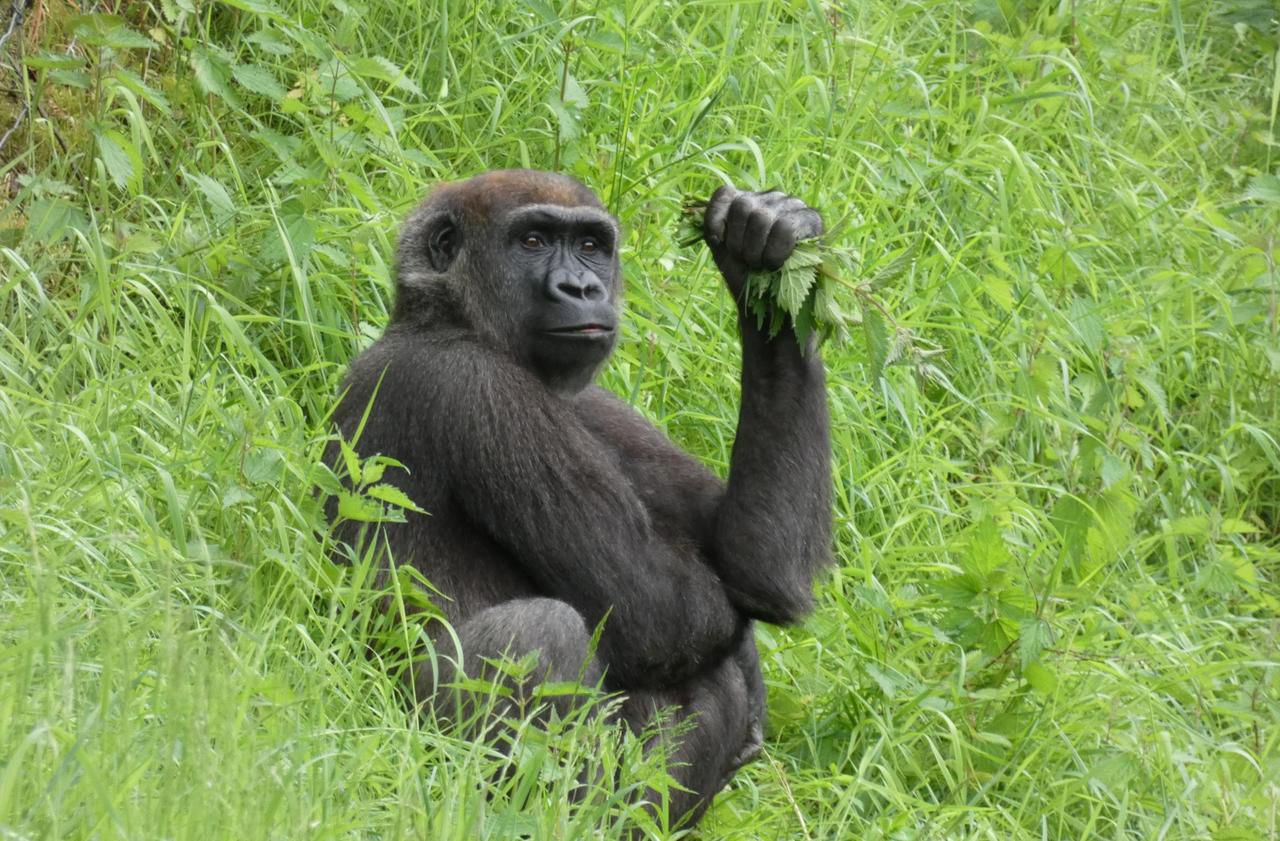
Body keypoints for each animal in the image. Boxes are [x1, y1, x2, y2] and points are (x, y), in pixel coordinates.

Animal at [325, 170, 834, 824]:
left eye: (591, 246)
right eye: (533, 241)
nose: (583, 287)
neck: (447, 318)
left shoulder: (601, 404)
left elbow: (755, 569)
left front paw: (764, 251)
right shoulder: (473, 384)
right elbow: (661, 612)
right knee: (542, 633)